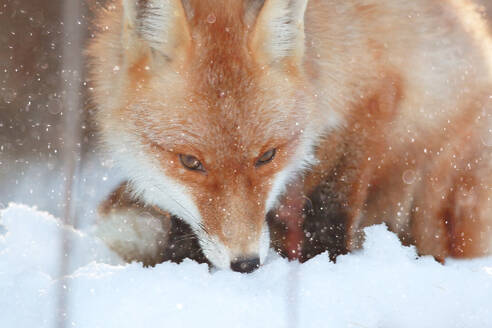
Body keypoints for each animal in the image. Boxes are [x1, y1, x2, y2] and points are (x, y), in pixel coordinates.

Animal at [87, 0, 492, 272]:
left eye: (267, 156)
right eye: (190, 162)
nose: (246, 264)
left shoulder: (376, 99)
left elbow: (331, 211)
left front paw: (329, 266)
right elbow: (182, 221)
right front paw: (183, 268)